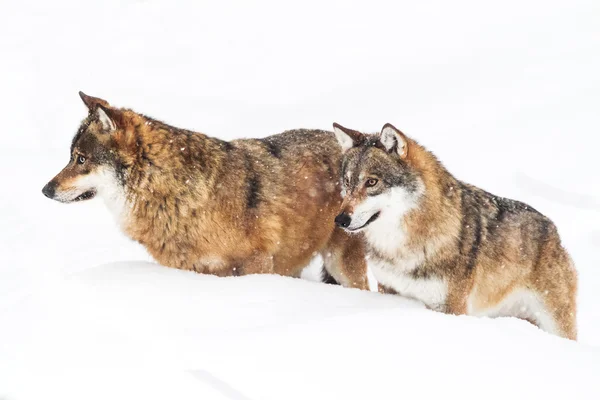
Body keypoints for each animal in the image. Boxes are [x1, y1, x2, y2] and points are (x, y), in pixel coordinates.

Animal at [332, 122, 576, 340]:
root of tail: (554, 231)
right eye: (347, 182)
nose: (340, 219)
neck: (400, 246)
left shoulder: (450, 307)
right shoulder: (389, 290)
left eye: (372, 182)